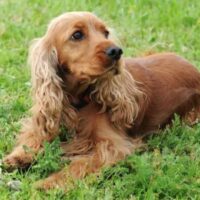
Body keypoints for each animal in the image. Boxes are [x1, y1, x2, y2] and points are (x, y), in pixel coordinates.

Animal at [2, 11, 200, 190]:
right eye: (77, 35)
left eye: (105, 33)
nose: (117, 51)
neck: (78, 100)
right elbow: (33, 137)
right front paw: (16, 157)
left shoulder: (111, 147)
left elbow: (80, 164)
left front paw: (49, 183)